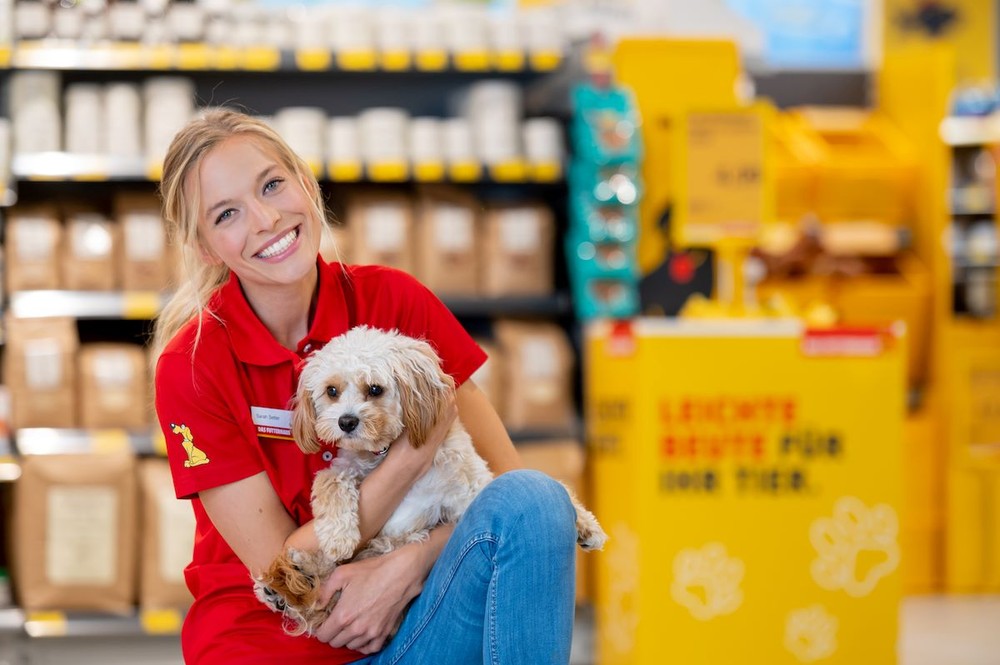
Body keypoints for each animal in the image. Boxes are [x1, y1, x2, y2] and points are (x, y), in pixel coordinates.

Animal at [254, 324, 604, 636]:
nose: (346, 422)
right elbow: (329, 482)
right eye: (332, 391)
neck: (382, 453)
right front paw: (338, 536)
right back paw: (289, 583)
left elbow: (535, 484)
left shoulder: (468, 490)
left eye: (375, 389)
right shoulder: (345, 467)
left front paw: (586, 525)